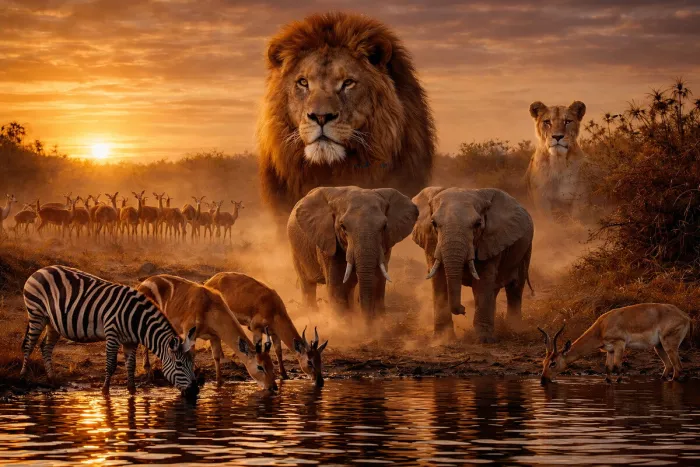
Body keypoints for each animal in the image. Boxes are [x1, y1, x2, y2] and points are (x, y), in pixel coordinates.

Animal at [20, 265, 199, 398]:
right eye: (179, 364)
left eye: (192, 363)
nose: (195, 391)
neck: (136, 320)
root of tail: (40, 270)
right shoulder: (112, 334)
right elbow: (111, 365)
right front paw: (105, 391)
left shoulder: (131, 341)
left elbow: (130, 365)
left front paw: (132, 390)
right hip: (36, 313)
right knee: (29, 345)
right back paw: (23, 377)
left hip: (53, 322)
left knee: (45, 347)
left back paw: (52, 380)